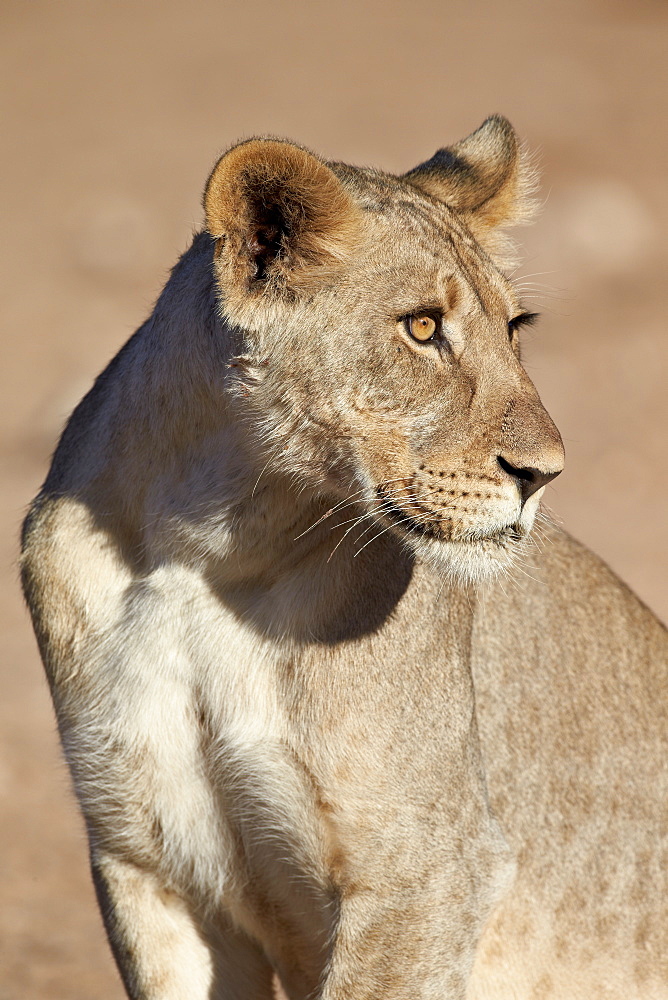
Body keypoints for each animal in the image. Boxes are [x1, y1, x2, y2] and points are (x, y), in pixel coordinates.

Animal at [20, 119, 668, 1000]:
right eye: (422, 328)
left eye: (515, 328)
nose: (544, 474)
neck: (210, 545)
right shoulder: (145, 861)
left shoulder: (427, 868)